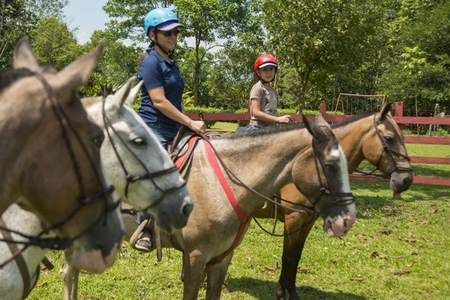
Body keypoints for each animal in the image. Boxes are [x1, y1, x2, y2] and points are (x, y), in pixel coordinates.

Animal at [255, 102, 414, 298]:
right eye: (389, 138)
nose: (406, 179)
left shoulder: (307, 220)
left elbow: (297, 256)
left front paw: (292, 292)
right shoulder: (294, 218)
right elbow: (288, 256)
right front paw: (280, 293)